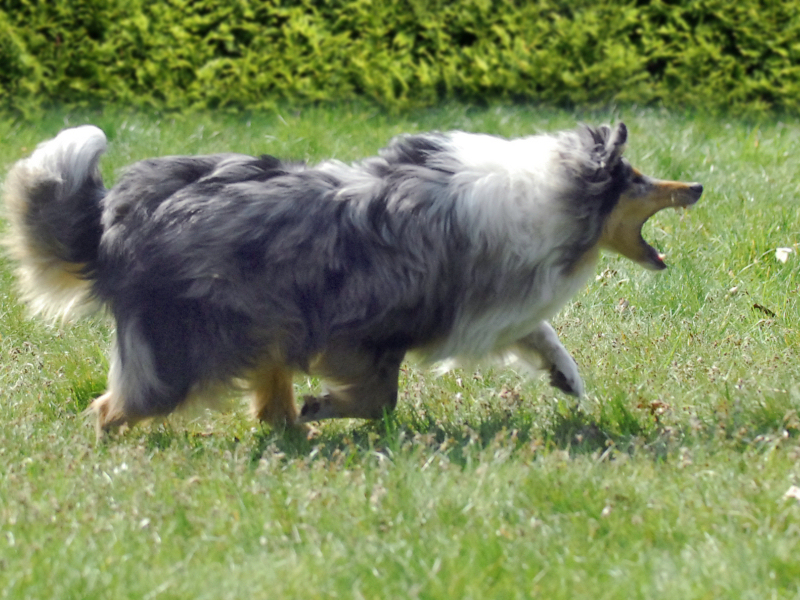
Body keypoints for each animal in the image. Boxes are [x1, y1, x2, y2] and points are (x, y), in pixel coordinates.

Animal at [1, 120, 700, 436]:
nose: (695, 186)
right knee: (111, 406)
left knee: (268, 407)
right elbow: (379, 397)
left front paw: (566, 376)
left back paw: (295, 432)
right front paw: (331, 404)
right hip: (188, 352)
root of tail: (111, 226)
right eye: (638, 181)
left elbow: (539, 331)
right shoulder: (372, 331)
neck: (550, 194)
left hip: (269, 324)